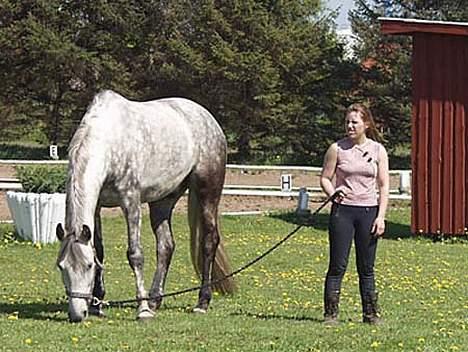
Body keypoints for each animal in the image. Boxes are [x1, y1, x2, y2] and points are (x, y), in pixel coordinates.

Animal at [56, 90, 236, 322]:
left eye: (87, 266)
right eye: (61, 267)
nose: (77, 314)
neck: (110, 141)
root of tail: (208, 119)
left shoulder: (130, 201)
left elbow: (135, 254)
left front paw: (142, 309)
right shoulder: (97, 207)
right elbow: (100, 250)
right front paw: (98, 305)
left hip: (208, 193)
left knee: (209, 241)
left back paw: (201, 302)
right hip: (162, 201)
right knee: (166, 246)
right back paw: (155, 300)